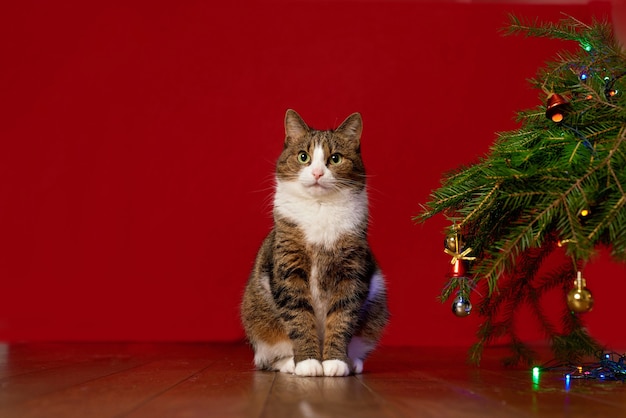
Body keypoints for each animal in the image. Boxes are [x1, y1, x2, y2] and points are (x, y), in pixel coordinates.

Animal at [241, 109, 388, 378]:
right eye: (303, 157)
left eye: (335, 158)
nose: (318, 173)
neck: (320, 208)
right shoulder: (289, 265)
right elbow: (299, 316)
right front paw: (308, 362)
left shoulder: (351, 270)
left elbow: (342, 317)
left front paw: (335, 362)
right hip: (258, 318)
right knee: (266, 358)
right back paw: (289, 362)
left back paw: (352, 362)